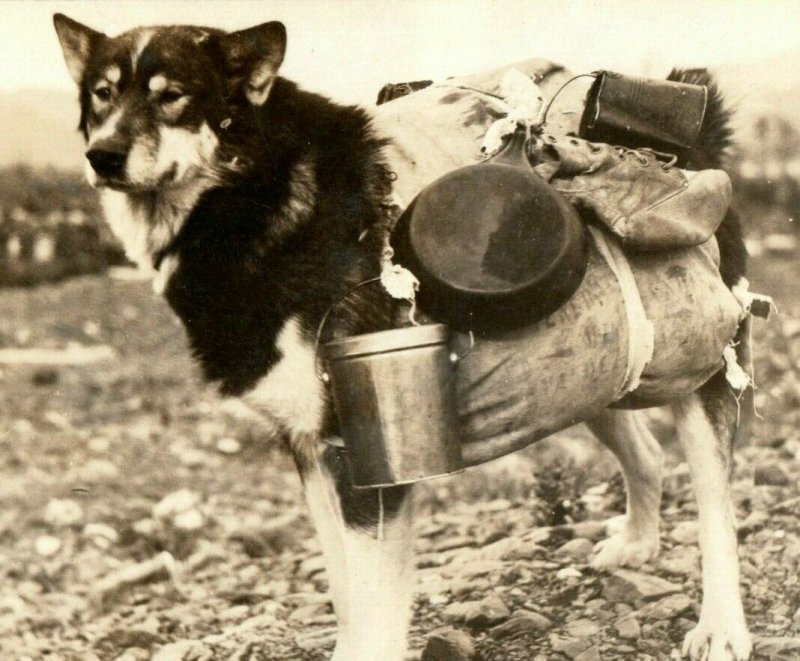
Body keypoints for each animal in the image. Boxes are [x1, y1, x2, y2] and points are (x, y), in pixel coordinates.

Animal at [53, 15, 752, 660]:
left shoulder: (366, 460)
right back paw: (638, 541)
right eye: (103, 95)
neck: (263, 201)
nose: (101, 157)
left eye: (172, 96)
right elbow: (345, 589)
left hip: (701, 373)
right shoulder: (312, 448)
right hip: (585, 377)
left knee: (715, 503)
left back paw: (720, 626)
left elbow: (370, 601)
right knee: (646, 451)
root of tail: (697, 137)